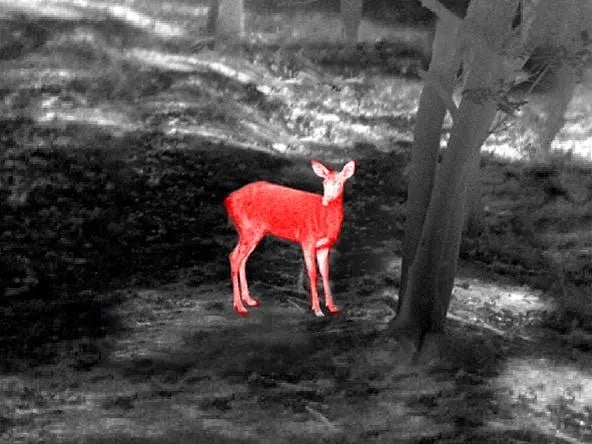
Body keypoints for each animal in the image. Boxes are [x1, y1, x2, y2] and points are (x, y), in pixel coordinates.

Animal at [224, 160, 356, 318]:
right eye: (324, 182)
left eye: (338, 183)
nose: (326, 199)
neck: (324, 218)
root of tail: (227, 199)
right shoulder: (307, 239)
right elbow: (312, 273)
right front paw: (317, 309)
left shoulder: (324, 246)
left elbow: (325, 273)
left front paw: (332, 307)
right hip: (248, 229)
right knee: (234, 257)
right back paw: (240, 306)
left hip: (252, 232)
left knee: (241, 259)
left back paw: (249, 300)